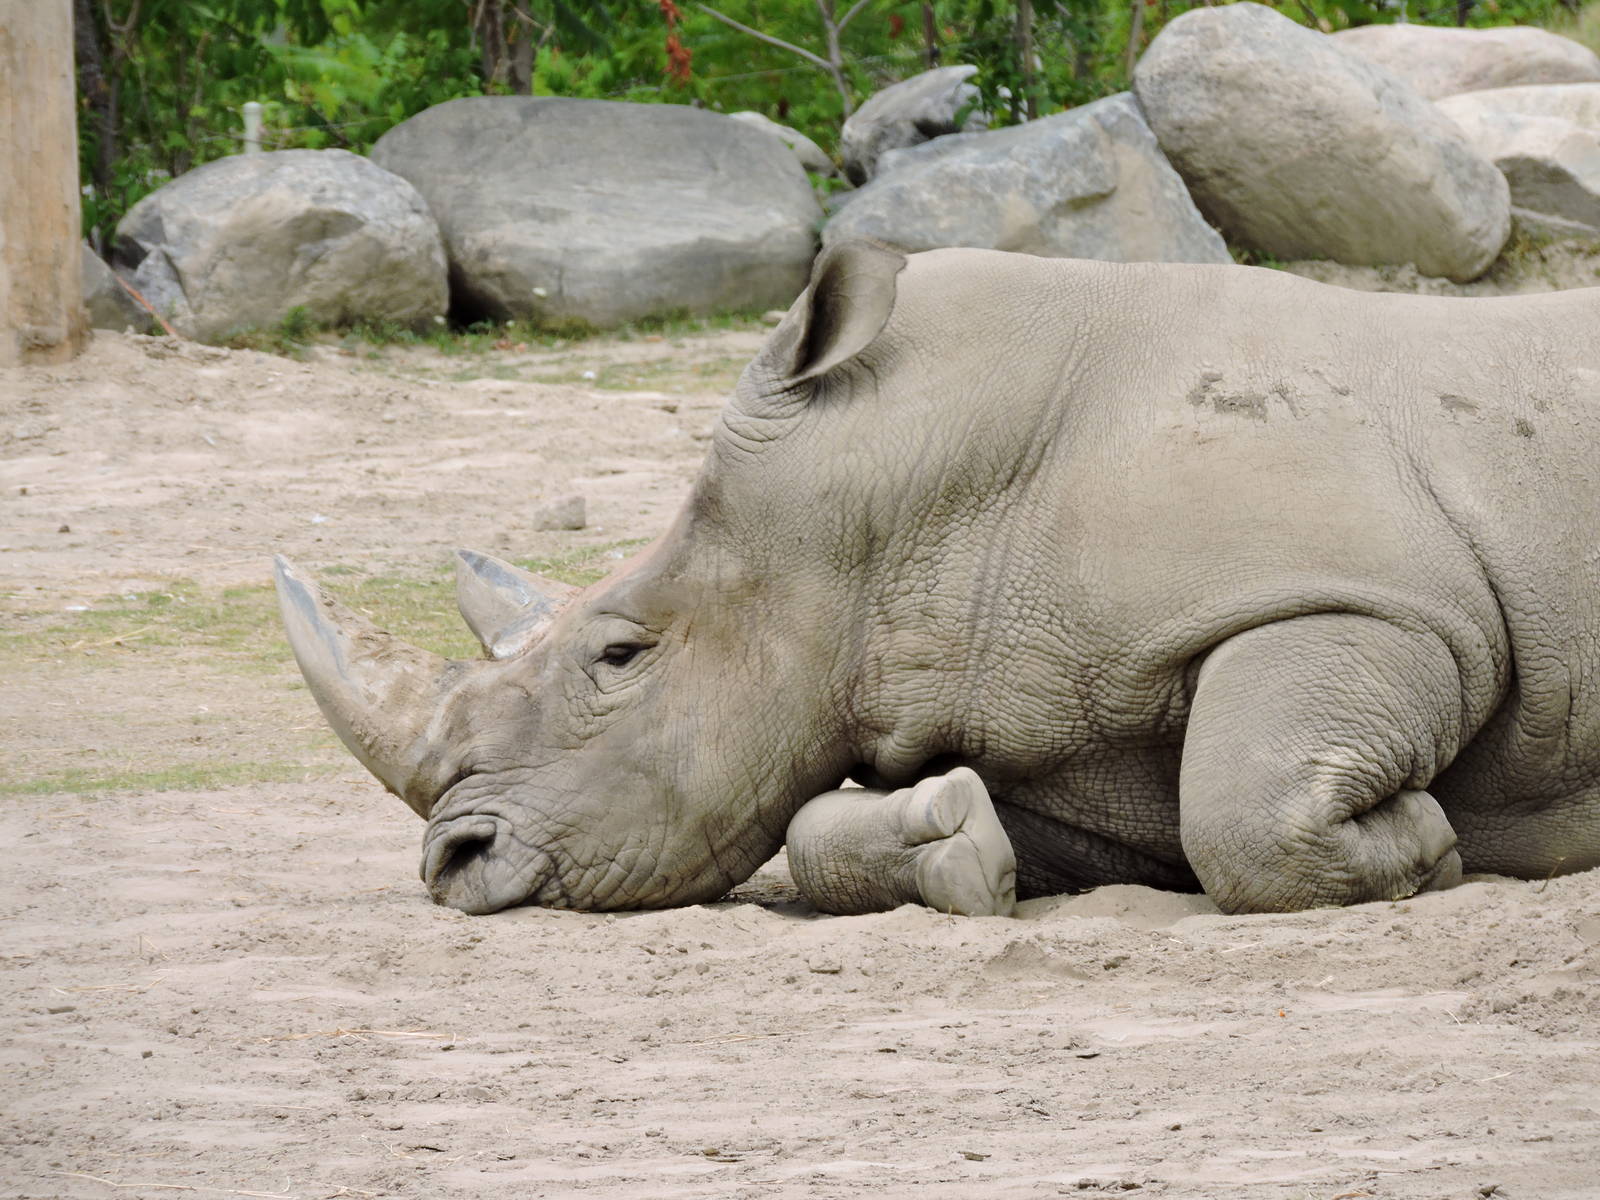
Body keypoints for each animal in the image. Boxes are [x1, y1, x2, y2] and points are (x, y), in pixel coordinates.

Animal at [276, 242, 1600, 917]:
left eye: (620, 653)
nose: (452, 866)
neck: (903, 496)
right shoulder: (1039, 709)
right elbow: (817, 824)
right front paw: (951, 849)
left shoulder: (1374, 600)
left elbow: (1241, 811)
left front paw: (1427, 845)